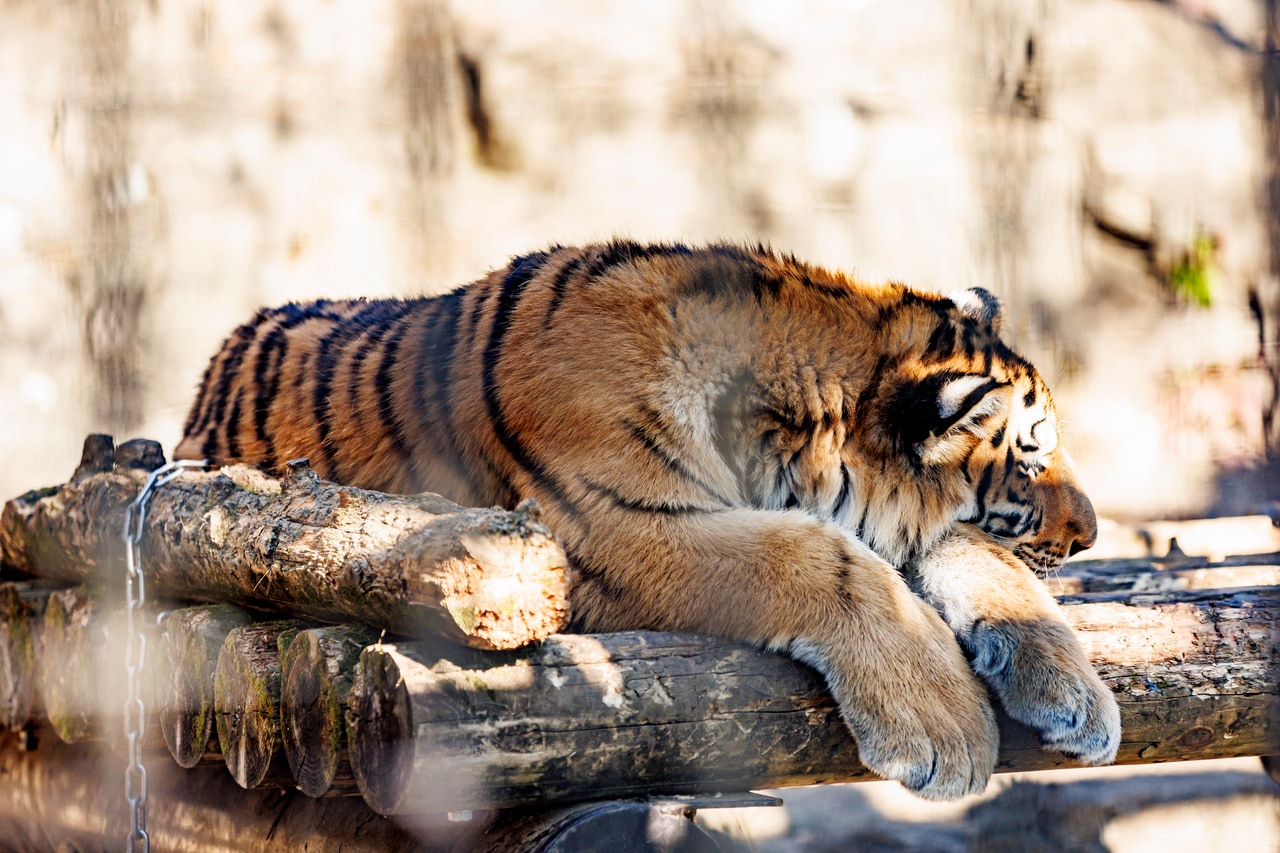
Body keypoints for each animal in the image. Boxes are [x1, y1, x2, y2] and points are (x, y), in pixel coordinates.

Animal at [177, 236, 1121, 799]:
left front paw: (1069, 689)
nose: (1090, 533)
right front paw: (943, 727)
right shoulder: (615, 531)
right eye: (1029, 460)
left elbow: (971, 553)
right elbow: (819, 557)